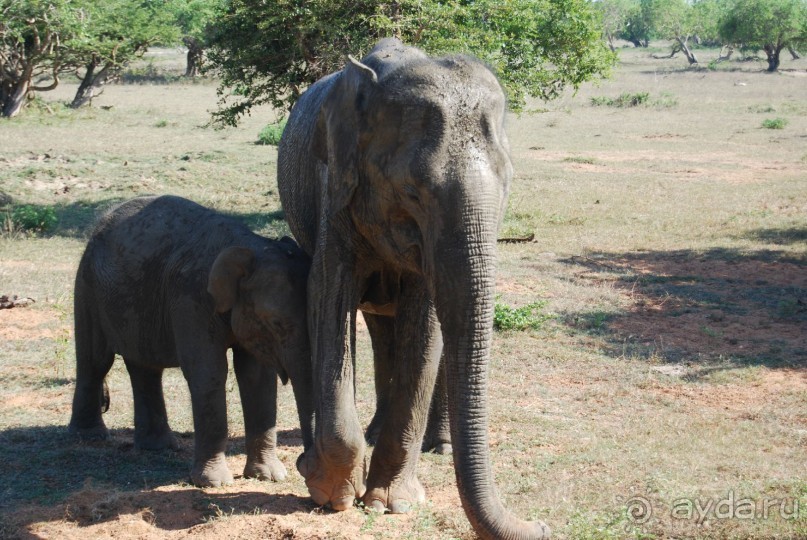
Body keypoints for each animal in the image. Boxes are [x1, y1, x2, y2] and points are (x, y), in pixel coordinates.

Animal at [68, 196, 314, 488]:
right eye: (276, 323)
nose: (303, 464)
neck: (250, 245)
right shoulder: (190, 297)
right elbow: (208, 372)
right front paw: (214, 483)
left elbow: (257, 377)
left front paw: (268, 476)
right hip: (87, 287)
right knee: (95, 360)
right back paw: (89, 437)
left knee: (145, 366)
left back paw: (158, 447)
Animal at [278, 39, 548, 540]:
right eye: (412, 191)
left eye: (507, 189)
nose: (540, 524)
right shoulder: (334, 192)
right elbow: (327, 301)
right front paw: (330, 493)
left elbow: (426, 326)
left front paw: (391, 503)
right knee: (376, 327)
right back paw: (371, 433)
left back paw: (438, 447)